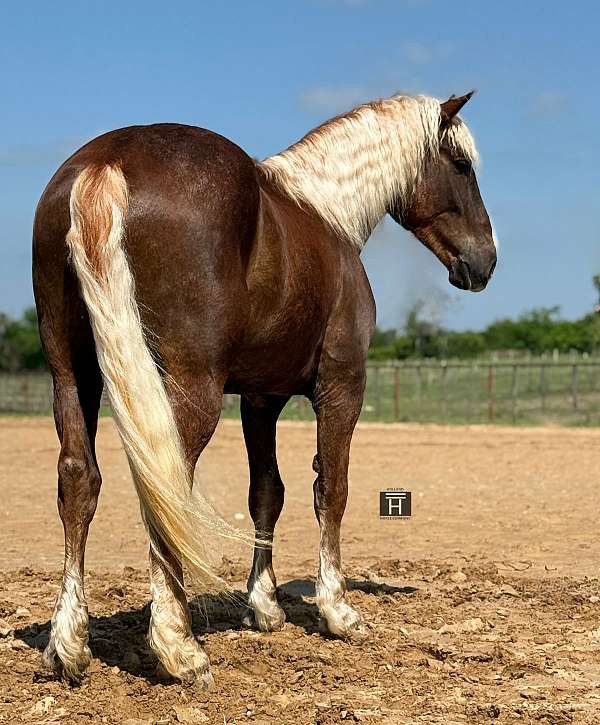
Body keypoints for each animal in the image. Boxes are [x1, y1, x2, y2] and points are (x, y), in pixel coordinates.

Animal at [32, 91, 496, 687]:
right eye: (461, 165)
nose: (485, 262)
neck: (327, 216)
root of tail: (105, 162)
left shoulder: (260, 400)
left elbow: (266, 493)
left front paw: (265, 606)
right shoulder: (341, 385)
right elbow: (332, 490)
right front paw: (338, 611)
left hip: (71, 377)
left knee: (79, 480)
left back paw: (68, 644)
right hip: (190, 390)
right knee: (166, 485)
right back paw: (179, 647)